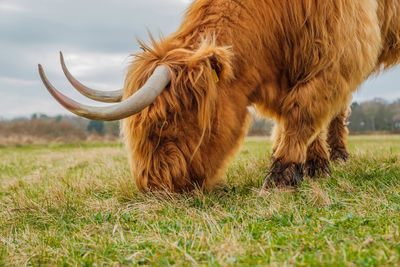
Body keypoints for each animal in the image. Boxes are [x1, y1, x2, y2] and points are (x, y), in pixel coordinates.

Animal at [39, 0, 400, 193]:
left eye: (165, 122)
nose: (152, 186)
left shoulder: (344, 47)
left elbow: (305, 107)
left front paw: (282, 174)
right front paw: (314, 163)